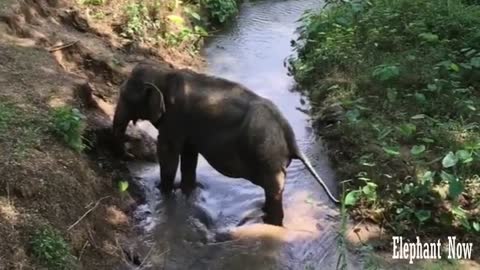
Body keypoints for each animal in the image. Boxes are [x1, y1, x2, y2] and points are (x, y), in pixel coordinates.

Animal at [112, 61, 340, 226]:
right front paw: (187, 192)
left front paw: (163, 191)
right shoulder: (188, 125)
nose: (126, 156)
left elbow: (168, 152)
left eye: (125, 97)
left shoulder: (174, 119)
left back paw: (269, 223)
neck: (165, 74)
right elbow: (189, 155)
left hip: (268, 156)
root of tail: (289, 135)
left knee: (273, 190)